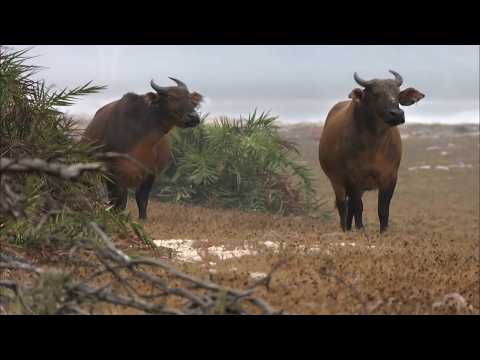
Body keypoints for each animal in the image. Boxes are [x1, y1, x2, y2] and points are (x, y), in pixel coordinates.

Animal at [82, 77, 202, 221]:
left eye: (189, 98)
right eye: (172, 97)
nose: (193, 117)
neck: (141, 140)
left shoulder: (150, 173)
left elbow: (141, 198)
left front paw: (142, 219)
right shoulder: (113, 171)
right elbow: (118, 199)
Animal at [318, 70, 424, 233]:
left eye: (397, 93)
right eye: (375, 93)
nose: (397, 114)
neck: (374, 145)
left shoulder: (390, 177)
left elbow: (383, 209)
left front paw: (384, 231)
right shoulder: (353, 178)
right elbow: (358, 207)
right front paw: (360, 228)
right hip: (336, 180)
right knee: (343, 205)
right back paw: (345, 228)